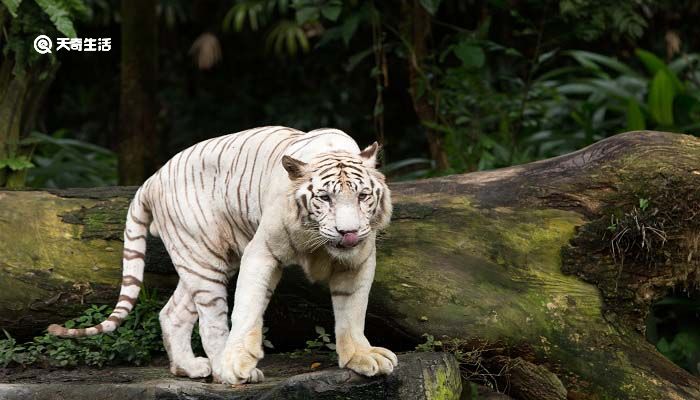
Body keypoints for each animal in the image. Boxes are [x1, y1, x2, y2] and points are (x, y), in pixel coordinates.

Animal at [48, 127, 396, 384]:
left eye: (363, 196)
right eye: (324, 198)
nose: (348, 232)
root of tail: (152, 179)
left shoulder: (359, 259)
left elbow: (352, 311)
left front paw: (361, 357)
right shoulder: (262, 251)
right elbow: (247, 308)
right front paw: (238, 361)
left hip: (203, 259)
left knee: (172, 313)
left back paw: (189, 368)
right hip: (204, 259)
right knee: (211, 323)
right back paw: (223, 369)